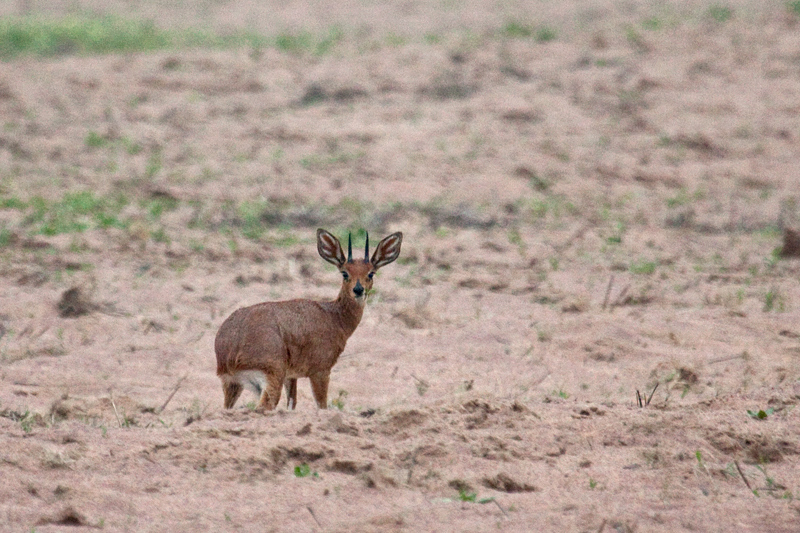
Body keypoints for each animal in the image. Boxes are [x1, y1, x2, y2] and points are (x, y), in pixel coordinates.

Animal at [214, 227, 404, 410]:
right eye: (344, 273)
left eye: (371, 273)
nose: (358, 290)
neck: (334, 317)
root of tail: (231, 348)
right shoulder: (321, 371)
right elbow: (322, 405)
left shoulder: (291, 376)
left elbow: (292, 404)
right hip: (271, 375)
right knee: (264, 407)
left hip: (233, 384)